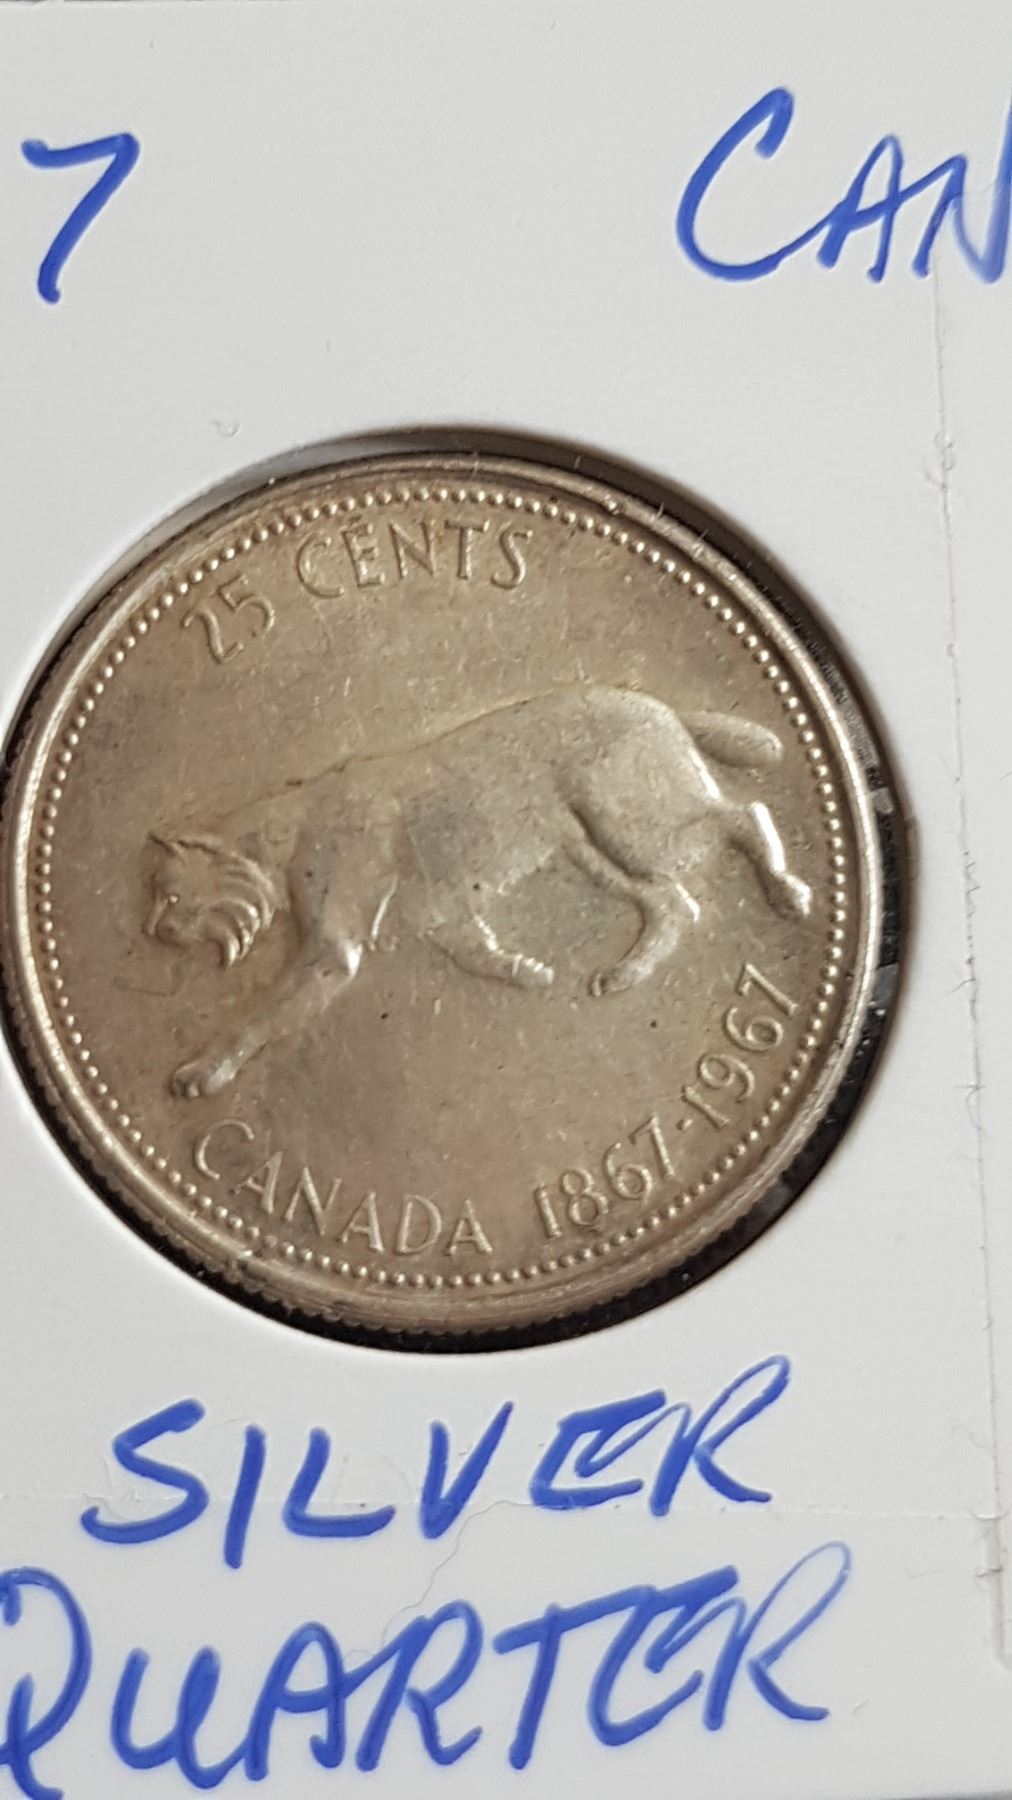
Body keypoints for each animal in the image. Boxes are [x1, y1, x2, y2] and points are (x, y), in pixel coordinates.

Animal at [145, 685, 811, 1097]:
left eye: (170, 895)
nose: (153, 930)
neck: (283, 839)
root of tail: (659, 702)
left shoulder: (332, 950)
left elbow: (255, 1019)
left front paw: (204, 1071)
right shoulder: (442, 914)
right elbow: (477, 949)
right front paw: (526, 972)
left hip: (636, 828)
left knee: (745, 815)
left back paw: (788, 893)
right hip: (594, 852)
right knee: (676, 904)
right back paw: (625, 974)